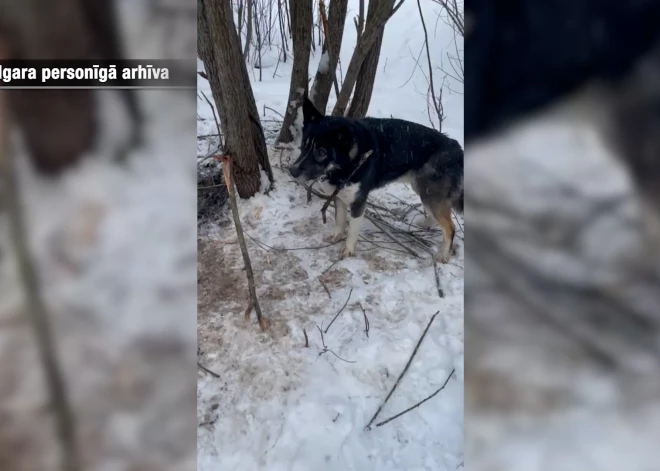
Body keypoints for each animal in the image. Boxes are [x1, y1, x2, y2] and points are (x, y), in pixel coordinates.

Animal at [288, 97, 464, 264]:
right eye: (304, 145)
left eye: (321, 152)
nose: (292, 171)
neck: (350, 160)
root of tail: (457, 148)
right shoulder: (339, 195)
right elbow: (340, 219)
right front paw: (337, 234)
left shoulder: (358, 201)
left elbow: (352, 229)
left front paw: (348, 250)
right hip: (422, 188)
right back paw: (426, 223)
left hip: (429, 192)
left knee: (450, 227)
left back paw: (443, 254)